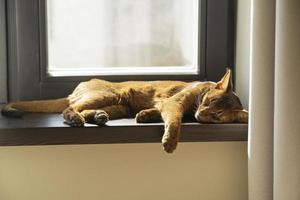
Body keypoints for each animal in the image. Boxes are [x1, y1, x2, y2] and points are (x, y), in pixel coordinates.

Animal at [1, 69, 247, 153]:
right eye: (209, 100)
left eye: (216, 116)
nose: (201, 115)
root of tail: (76, 88)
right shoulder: (174, 103)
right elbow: (174, 120)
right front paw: (169, 141)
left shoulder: (167, 105)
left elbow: (157, 111)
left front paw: (145, 115)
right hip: (106, 95)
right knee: (68, 109)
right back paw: (75, 117)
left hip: (118, 106)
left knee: (90, 111)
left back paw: (98, 117)